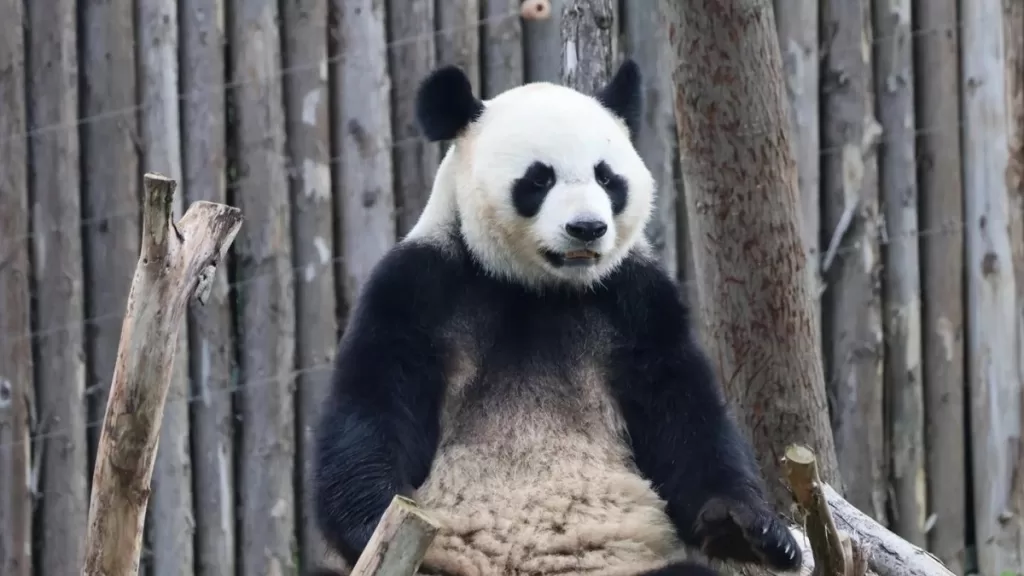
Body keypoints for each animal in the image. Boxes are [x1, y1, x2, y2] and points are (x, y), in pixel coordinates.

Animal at [310, 59, 803, 576]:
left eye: (606, 177)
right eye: (539, 179)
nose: (587, 227)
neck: (539, 287)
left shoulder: (636, 303)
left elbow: (683, 414)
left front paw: (752, 529)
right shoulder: (420, 288)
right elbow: (374, 402)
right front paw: (372, 522)